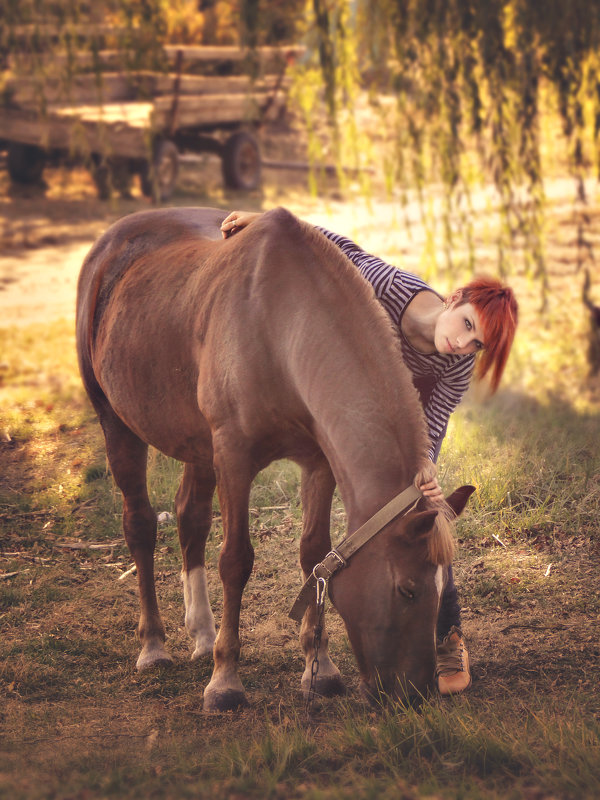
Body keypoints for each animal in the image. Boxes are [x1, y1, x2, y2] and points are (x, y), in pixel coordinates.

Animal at [76, 208, 474, 712]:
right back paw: (154, 645)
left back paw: (202, 634)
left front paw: (320, 668)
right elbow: (235, 560)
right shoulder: (233, 457)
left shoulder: (317, 461)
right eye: (408, 589)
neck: (279, 328)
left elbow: (313, 555)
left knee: (190, 519)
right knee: (141, 526)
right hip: (118, 425)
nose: (416, 694)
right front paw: (225, 680)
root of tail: (110, 243)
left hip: (196, 445)